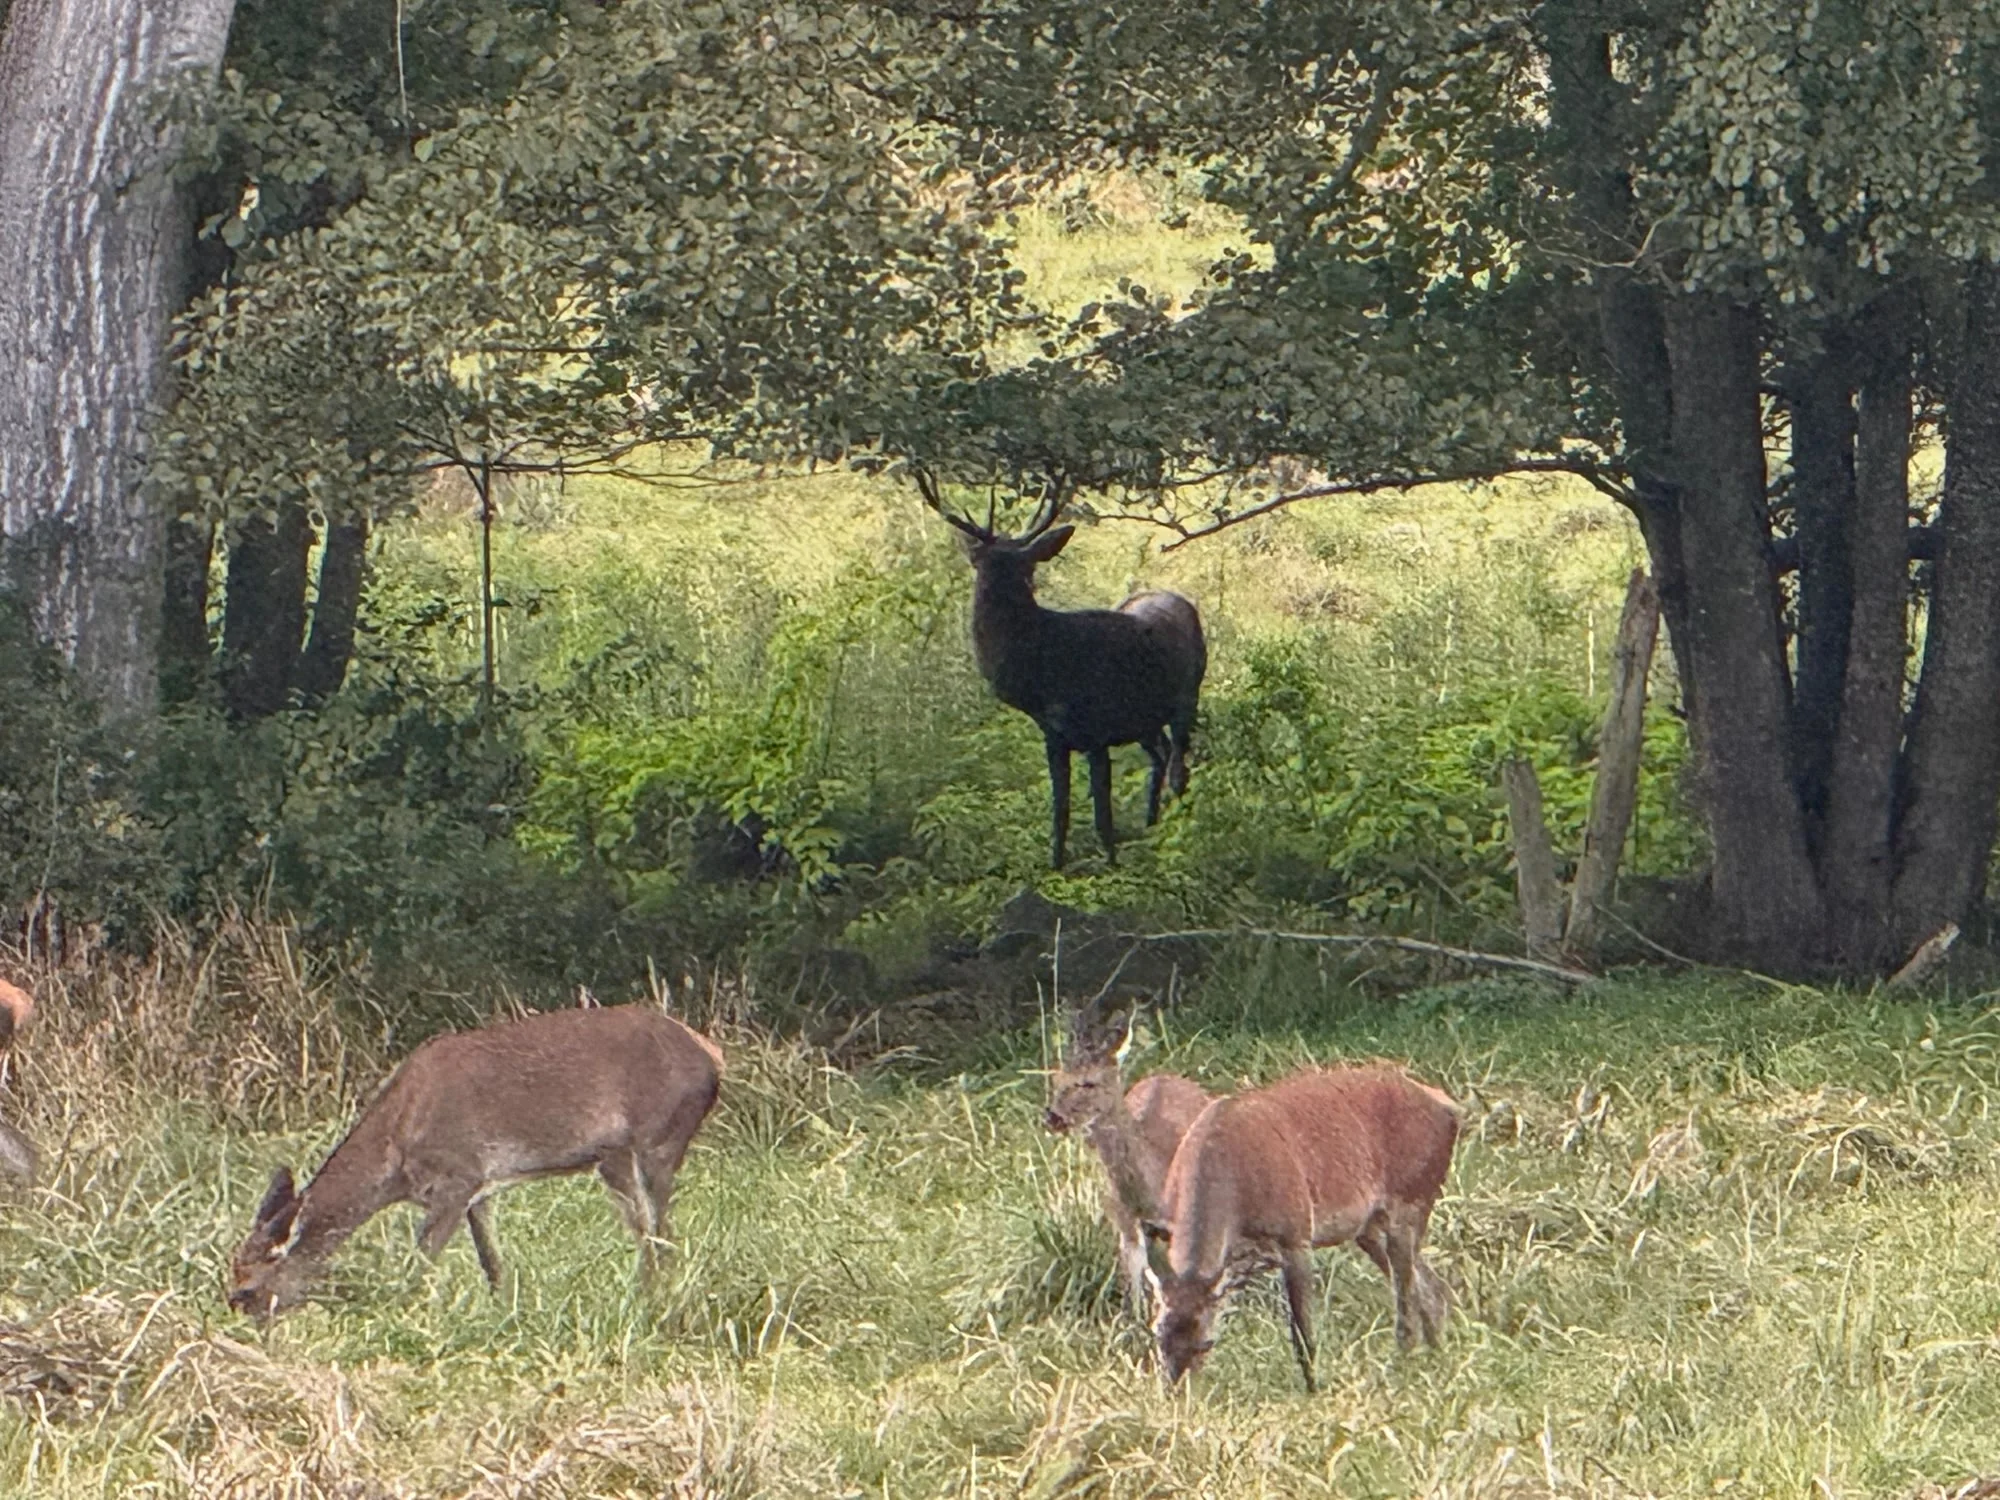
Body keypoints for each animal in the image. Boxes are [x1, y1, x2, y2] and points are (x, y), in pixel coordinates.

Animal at [228, 1004, 724, 1321]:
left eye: (248, 1288)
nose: (240, 1318)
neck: (396, 1159)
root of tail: (712, 1055)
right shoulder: (478, 1189)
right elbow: (491, 1262)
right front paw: (502, 1312)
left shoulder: (458, 1175)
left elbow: (420, 1262)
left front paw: (405, 1314)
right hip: (614, 1158)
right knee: (646, 1232)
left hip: (660, 1136)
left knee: (663, 1231)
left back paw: (663, 1302)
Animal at [920, 471, 1206, 868]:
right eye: (982, 561)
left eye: (1024, 564)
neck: (1046, 674)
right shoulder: (1054, 735)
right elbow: (1061, 811)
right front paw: (1055, 868)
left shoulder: (1096, 727)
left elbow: (1102, 816)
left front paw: (1112, 867)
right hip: (1144, 721)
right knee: (1161, 757)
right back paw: (1152, 828)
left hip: (1187, 696)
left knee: (1180, 768)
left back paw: (1179, 836)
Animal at [1148, 1064, 1459, 1391]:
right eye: (1156, 1335)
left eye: (1206, 1343)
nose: (1174, 1393)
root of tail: (1450, 1106)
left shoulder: (1296, 1234)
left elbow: (1302, 1332)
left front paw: (1313, 1388)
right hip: (1369, 1227)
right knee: (1433, 1288)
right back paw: (1436, 1356)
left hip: (1411, 1199)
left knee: (1409, 1298)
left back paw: (1405, 1364)